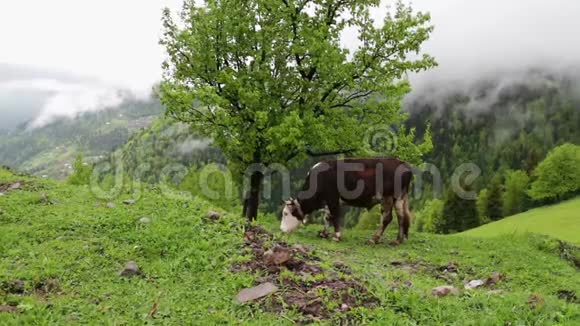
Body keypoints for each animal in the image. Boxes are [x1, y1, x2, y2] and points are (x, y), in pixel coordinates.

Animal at [280, 158, 412, 244]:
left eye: (285, 213)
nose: (281, 230)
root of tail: (403, 163)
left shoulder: (332, 199)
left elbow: (334, 216)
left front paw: (337, 236)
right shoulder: (328, 202)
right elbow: (327, 217)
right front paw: (324, 233)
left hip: (389, 197)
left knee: (389, 218)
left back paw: (377, 239)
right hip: (398, 198)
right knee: (400, 217)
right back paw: (396, 239)